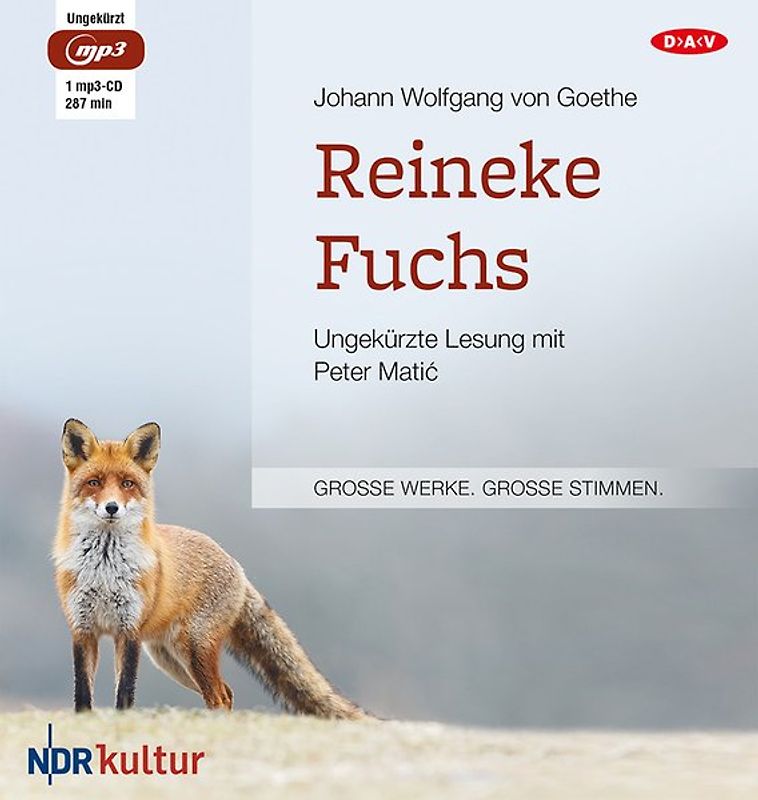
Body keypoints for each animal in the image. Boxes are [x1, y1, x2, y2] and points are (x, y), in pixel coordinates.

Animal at [53, 419, 367, 719]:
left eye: (127, 484)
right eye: (94, 482)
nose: (111, 507)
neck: (104, 570)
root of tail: (235, 563)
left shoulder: (128, 631)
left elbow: (125, 693)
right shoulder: (82, 629)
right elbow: (83, 694)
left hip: (193, 649)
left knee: (220, 696)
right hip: (171, 659)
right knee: (225, 692)